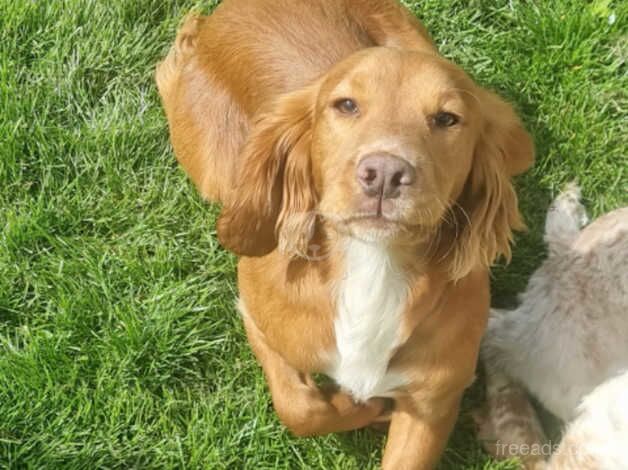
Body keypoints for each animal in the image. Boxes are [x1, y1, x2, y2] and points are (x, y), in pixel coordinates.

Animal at [155, 0, 532, 466]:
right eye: (346, 105)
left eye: (447, 118)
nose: (385, 173)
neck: (373, 263)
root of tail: (225, 13)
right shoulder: (257, 315)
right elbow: (300, 407)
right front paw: (361, 406)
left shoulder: (434, 399)